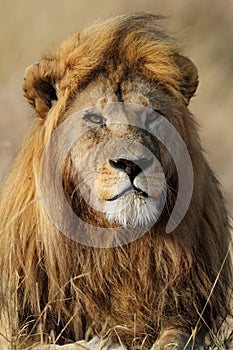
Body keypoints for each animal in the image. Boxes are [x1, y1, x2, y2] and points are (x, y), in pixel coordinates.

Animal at [0, 13, 232, 350]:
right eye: (95, 119)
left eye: (153, 116)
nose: (132, 163)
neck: (117, 244)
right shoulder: (19, 331)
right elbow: (58, 345)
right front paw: (103, 343)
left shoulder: (189, 314)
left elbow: (177, 338)